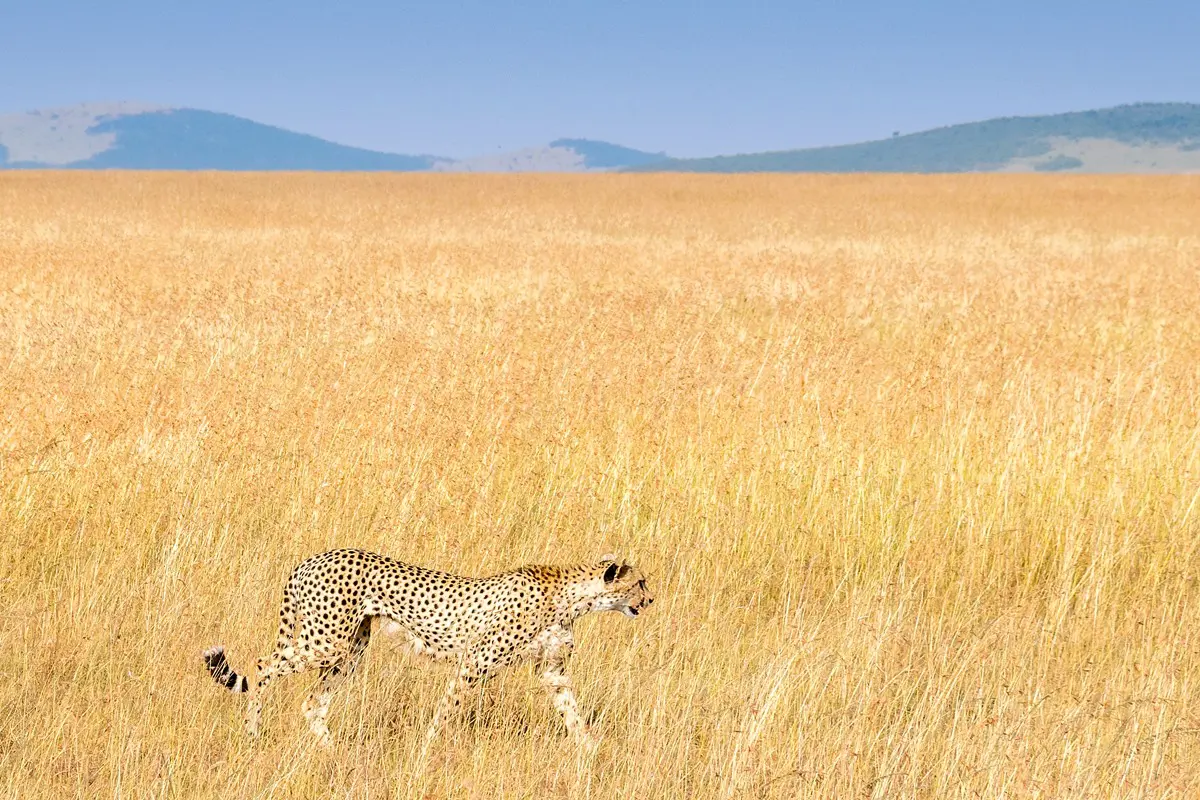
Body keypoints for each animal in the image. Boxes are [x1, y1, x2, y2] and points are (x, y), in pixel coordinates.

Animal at [202, 548, 653, 751]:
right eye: (640, 583)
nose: (651, 600)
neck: (571, 596)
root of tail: (310, 559)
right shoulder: (475, 663)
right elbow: (447, 711)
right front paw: (428, 749)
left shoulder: (552, 671)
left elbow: (573, 712)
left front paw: (591, 752)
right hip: (325, 642)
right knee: (262, 665)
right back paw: (253, 733)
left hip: (350, 649)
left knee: (313, 702)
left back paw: (332, 752)